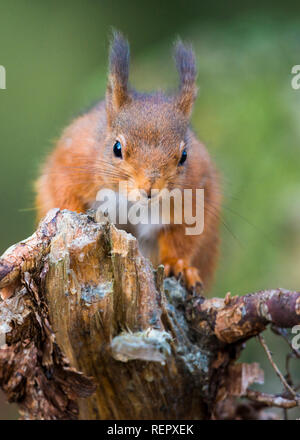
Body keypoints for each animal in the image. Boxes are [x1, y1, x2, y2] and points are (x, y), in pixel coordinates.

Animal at [35, 31, 221, 292]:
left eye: (184, 156)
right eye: (117, 148)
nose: (150, 189)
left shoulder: (199, 195)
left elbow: (182, 236)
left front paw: (180, 265)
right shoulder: (70, 162)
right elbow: (62, 194)